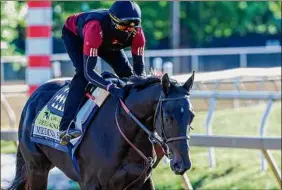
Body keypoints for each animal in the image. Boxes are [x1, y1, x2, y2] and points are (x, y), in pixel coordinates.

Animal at [7, 72, 195, 190]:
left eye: (191, 116)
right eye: (167, 118)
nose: (182, 164)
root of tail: (33, 98)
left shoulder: (141, 182)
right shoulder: (92, 183)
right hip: (37, 168)